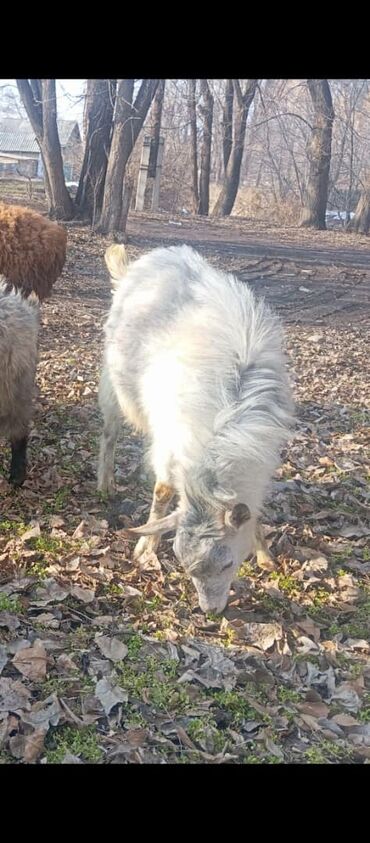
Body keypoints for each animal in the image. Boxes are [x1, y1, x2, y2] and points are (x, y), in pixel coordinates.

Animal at [98, 244, 294, 612]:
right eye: (184, 565)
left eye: (228, 563)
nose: (210, 611)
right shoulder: (173, 441)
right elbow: (163, 491)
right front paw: (145, 548)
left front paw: (265, 555)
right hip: (114, 384)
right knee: (110, 432)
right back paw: (105, 482)